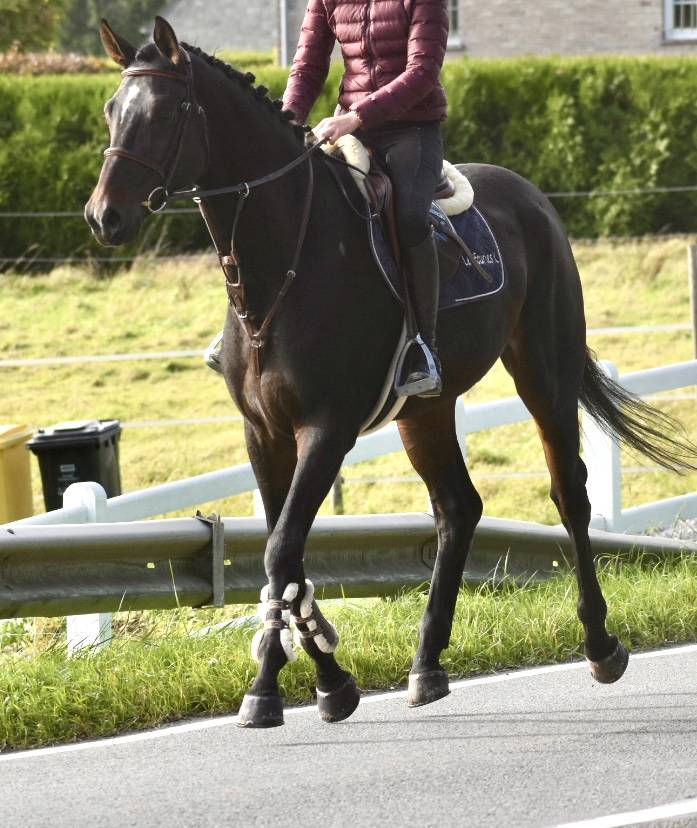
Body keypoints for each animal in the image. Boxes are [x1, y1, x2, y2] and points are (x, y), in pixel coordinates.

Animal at [85, 17, 695, 728]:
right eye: (112, 109)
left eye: (165, 113)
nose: (103, 216)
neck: (285, 261)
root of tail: (531, 196)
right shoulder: (263, 434)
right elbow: (285, 557)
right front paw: (314, 684)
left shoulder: (326, 430)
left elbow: (281, 551)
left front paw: (286, 686)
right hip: (425, 411)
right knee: (458, 508)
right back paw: (427, 664)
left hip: (544, 370)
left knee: (569, 491)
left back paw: (600, 644)